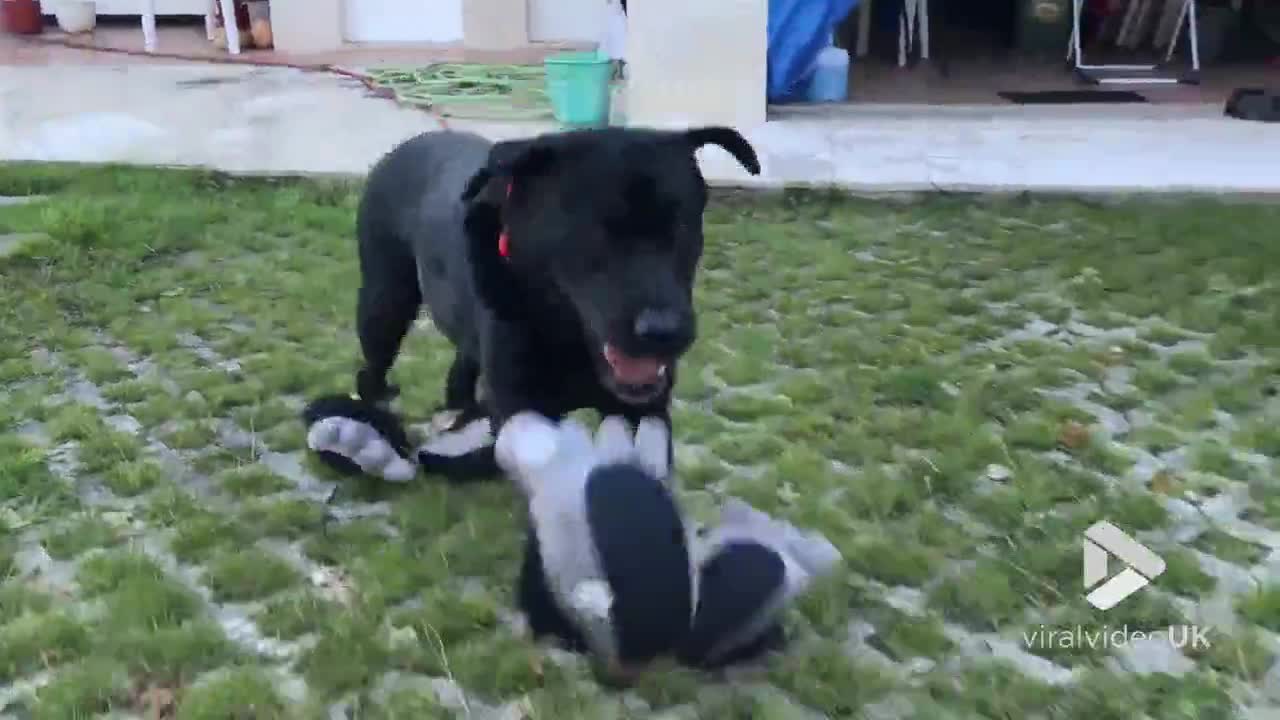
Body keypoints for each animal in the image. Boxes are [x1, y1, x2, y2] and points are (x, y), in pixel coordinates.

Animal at [350, 126, 757, 479]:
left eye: (683, 226)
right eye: (594, 232)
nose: (665, 333)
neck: (569, 340)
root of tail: (403, 147)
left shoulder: (644, 410)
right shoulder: (521, 408)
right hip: (384, 305)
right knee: (371, 371)